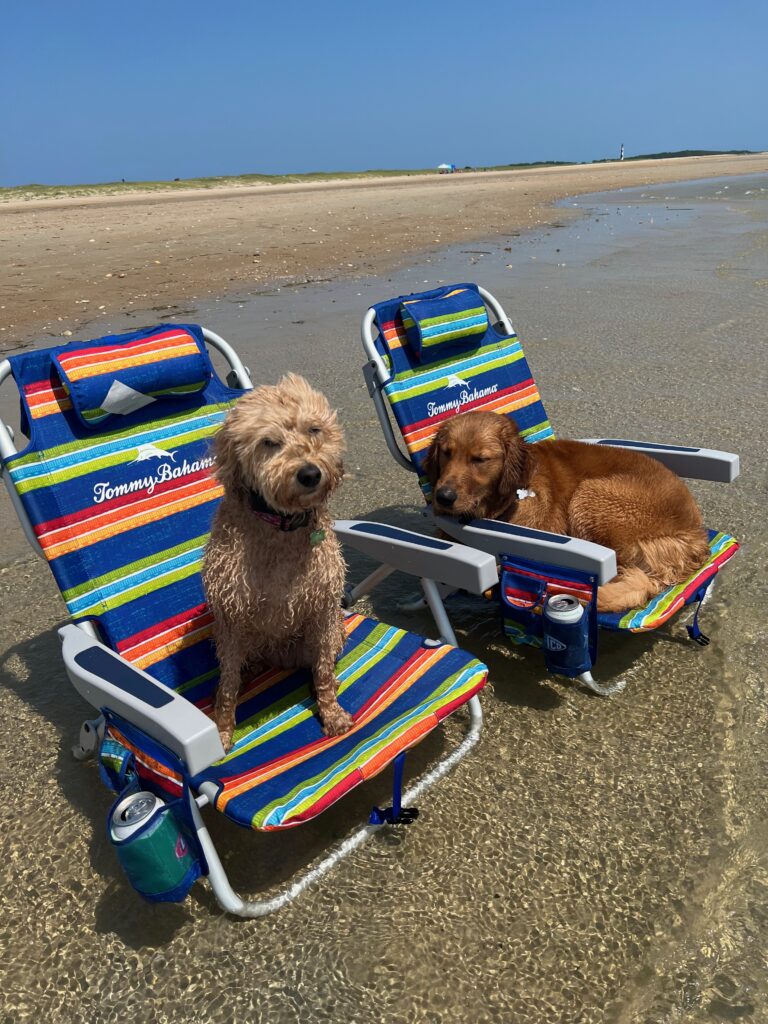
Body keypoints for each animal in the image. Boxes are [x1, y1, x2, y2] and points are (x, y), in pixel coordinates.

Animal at [201, 376, 352, 753]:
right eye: (269, 442)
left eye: (314, 430)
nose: (310, 473)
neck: (280, 524)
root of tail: (280, 658)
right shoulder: (230, 618)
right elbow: (228, 685)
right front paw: (222, 731)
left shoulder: (324, 610)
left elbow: (323, 673)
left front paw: (331, 713)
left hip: (331, 633)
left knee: (320, 664)